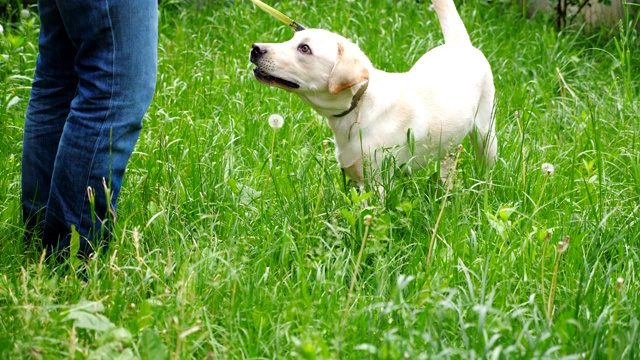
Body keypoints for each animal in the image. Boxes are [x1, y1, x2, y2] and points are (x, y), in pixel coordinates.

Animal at [249, 0, 496, 186]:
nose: (255, 48)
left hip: (486, 135)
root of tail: (459, 45)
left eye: (304, 49)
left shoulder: (378, 182)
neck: (358, 107)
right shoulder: (355, 180)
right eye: (291, 40)